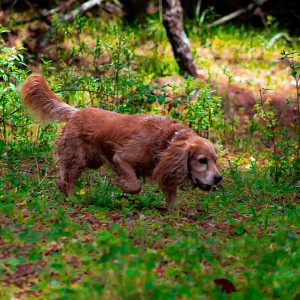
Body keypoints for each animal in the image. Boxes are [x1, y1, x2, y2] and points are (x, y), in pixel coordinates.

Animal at [19, 73, 221, 209]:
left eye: (215, 160)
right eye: (202, 160)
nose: (218, 178)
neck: (167, 140)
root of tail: (76, 112)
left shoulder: (166, 169)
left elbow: (171, 198)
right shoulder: (122, 159)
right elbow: (135, 186)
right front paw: (119, 185)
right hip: (76, 159)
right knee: (64, 181)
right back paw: (73, 200)